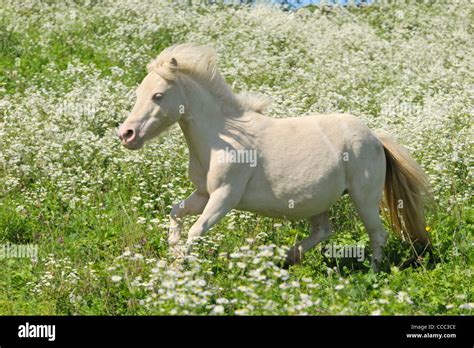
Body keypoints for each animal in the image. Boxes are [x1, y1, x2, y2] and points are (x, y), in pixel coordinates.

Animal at [117, 43, 430, 270]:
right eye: (139, 93)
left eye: (158, 96)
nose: (127, 134)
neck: (221, 139)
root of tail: (376, 137)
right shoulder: (203, 195)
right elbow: (176, 213)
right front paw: (173, 254)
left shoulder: (224, 197)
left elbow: (196, 230)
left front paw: (176, 269)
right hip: (318, 200)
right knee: (324, 231)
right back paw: (288, 258)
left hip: (363, 198)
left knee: (377, 235)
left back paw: (373, 276)